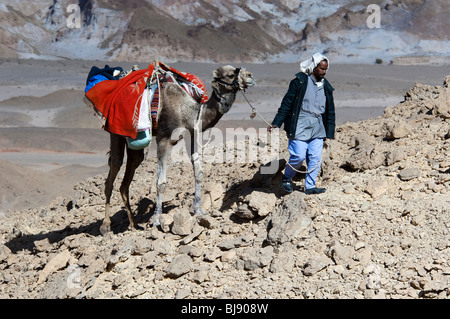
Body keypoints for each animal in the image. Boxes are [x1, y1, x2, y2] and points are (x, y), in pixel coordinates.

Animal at [103, 65, 256, 235]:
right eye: (230, 74)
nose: (250, 76)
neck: (188, 112)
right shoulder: (163, 139)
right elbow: (161, 182)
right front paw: (157, 220)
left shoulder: (192, 135)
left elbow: (199, 173)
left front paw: (199, 211)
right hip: (116, 131)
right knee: (114, 168)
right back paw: (106, 226)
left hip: (135, 144)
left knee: (127, 178)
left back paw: (133, 225)